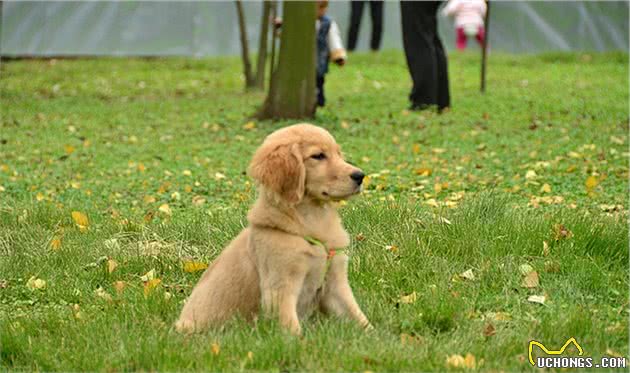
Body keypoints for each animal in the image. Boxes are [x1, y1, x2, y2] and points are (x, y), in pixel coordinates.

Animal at [175, 123, 372, 334]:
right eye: (318, 156)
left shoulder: (335, 284)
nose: (360, 176)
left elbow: (359, 317)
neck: (312, 221)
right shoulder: (280, 289)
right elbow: (292, 329)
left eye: (338, 154)